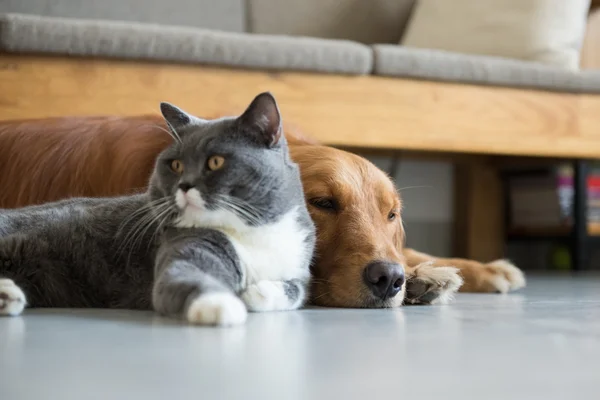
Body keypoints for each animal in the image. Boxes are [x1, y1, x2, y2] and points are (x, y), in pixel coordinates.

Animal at [0, 93, 316, 324]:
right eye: (175, 165)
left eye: (215, 161)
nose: (185, 185)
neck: (252, 232)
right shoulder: (182, 245)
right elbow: (184, 275)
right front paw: (221, 305)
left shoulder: (299, 258)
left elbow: (297, 291)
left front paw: (258, 291)